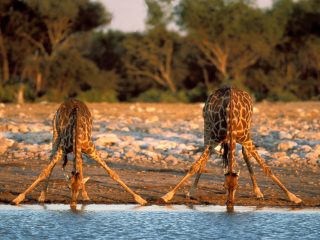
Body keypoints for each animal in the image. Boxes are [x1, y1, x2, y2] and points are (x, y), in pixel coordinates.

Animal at [11, 98, 147, 208]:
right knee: (52, 158)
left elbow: (112, 173)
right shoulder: (62, 149)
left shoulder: (91, 149)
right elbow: (44, 172)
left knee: (79, 166)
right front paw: (18, 199)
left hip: (78, 149)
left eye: (79, 187)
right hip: (55, 132)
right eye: (68, 187)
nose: (73, 205)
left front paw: (141, 199)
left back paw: (85, 196)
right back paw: (43, 196)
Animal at [161, 87, 302, 209]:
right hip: (207, 127)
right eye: (223, 186)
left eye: (237, 187)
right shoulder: (213, 140)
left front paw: (293, 197)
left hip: (248, 129)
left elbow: (266, 167)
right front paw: (168, 195)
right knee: (205, 157)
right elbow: (194, 166)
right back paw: (192, 191)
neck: (231, 122)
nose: (229, 204)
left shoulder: (246, 139)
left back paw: (258, 192)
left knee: (245, 154)